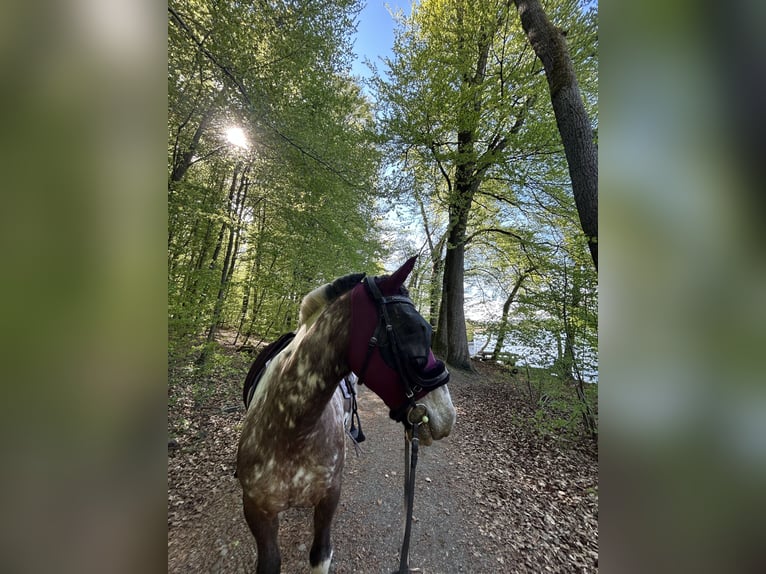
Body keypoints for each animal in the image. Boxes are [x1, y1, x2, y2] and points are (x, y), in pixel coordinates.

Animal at [236, 256, 456, 574]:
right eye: (412, 331)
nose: (447, 415)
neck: (292, 432)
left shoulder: (329, 499)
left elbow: (320, 553)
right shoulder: (257, 512)